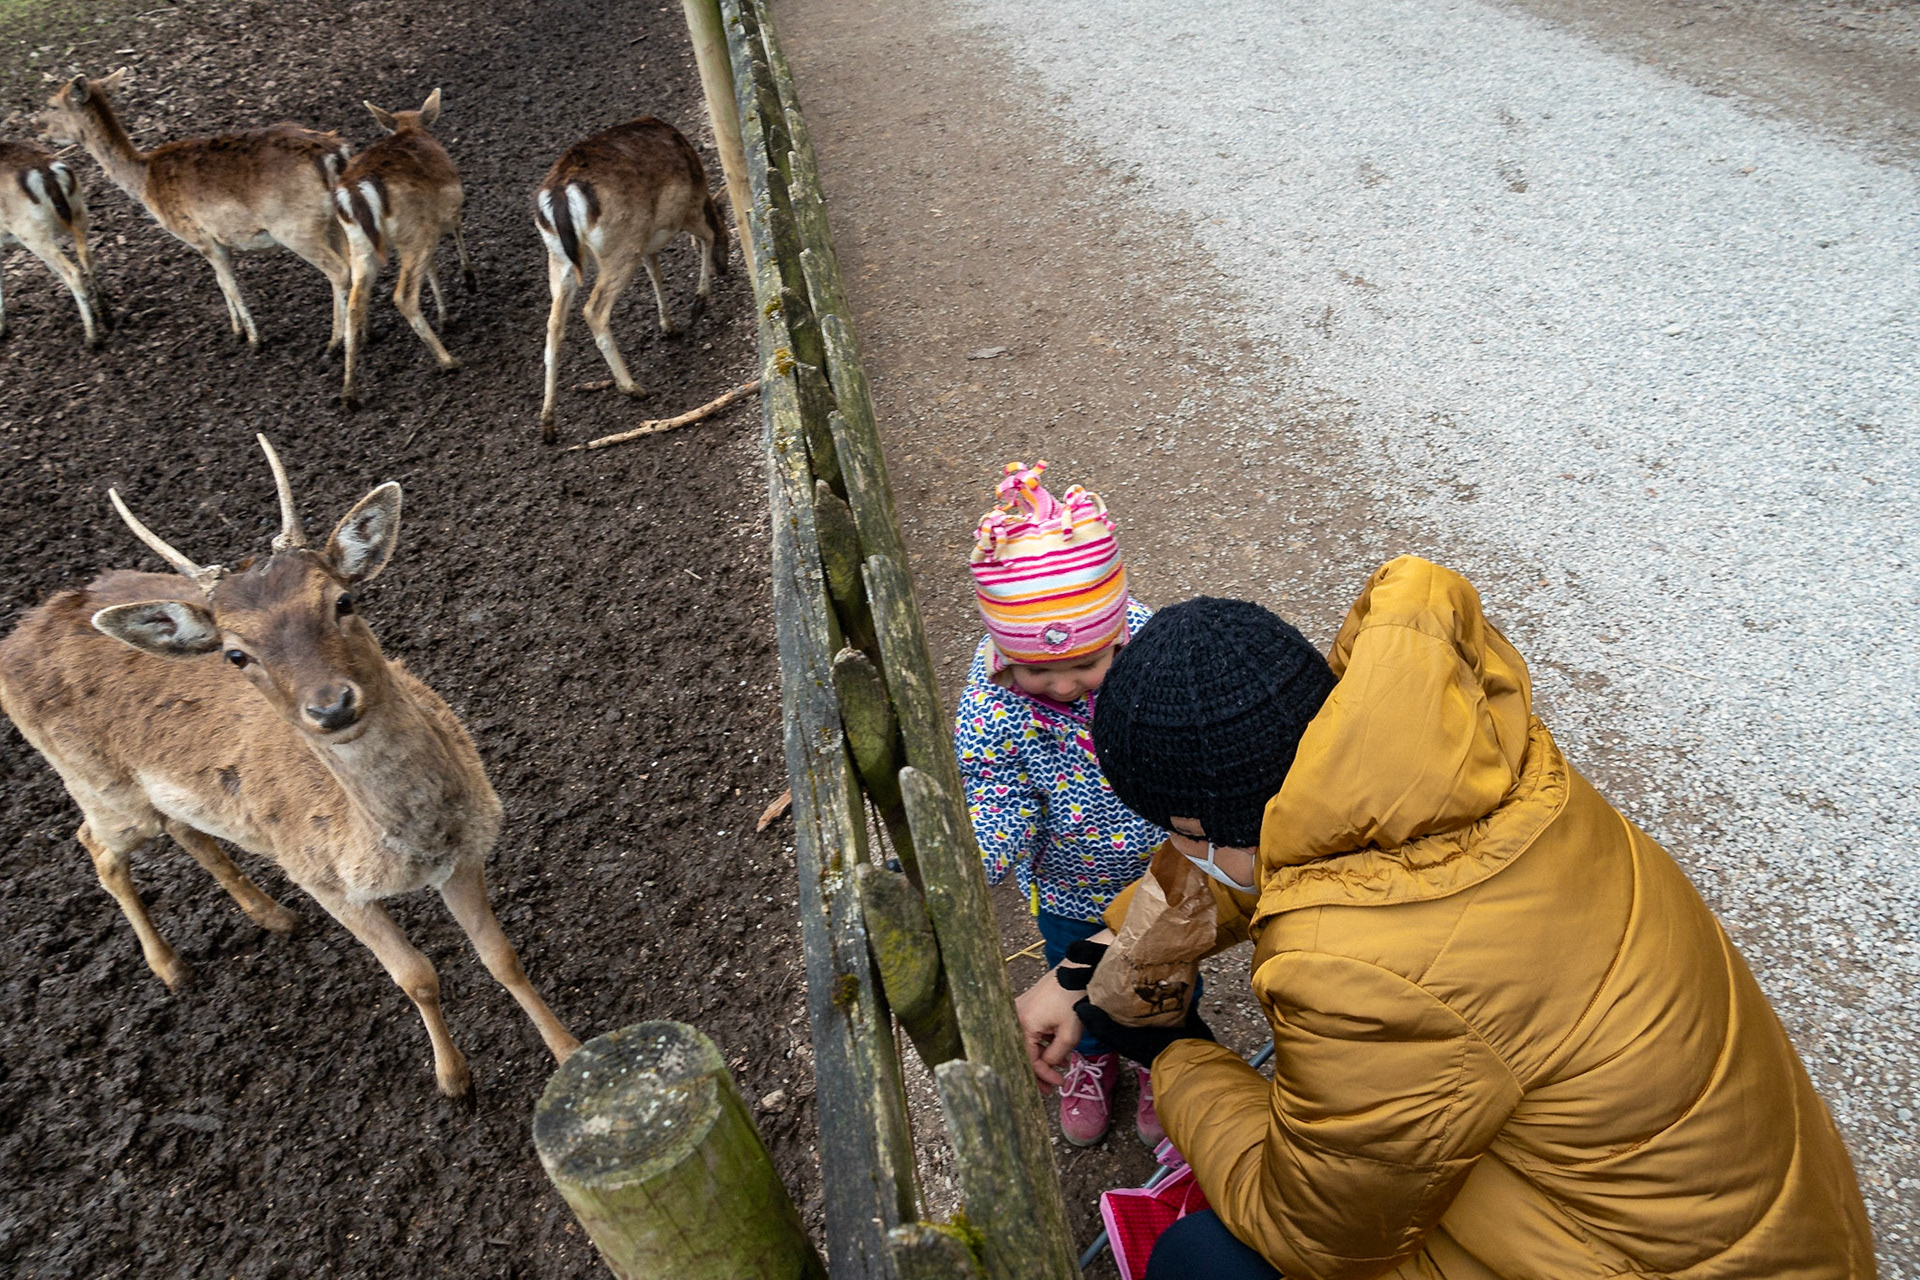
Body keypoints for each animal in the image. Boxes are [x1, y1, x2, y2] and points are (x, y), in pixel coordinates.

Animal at [0, 437, 580, 1100]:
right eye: (235, 654)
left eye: (342, 600)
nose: (330, 706)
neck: (406, 847)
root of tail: (16, 637)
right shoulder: (320, 877)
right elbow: (416, 975)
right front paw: (453, 1079)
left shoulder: (465, 855)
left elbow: (502, 957)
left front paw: (568, 1053)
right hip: (100, 786)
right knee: (94, 845)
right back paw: (171, 968)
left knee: (183, 827)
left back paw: (272, 915)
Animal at [1, 138, 109, 347]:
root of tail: (46, 170)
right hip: (79, 212)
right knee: (86, 257)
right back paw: (106, 317)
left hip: (31, 233)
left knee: (72, 272)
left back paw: (91, 338)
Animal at [36, 69, 352, 353]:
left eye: (52, 104)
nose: (41, 129)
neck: (144, 182)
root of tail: (334, 154)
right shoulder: (217, 240)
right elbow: (222, 283)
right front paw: (238, 333)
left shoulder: (201, 236)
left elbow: (228, 284)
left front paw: (254, 341)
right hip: (334, 222)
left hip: (296, 228)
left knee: (339, 271)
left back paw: (334, 344)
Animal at [333, 88, 474, 408]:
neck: (411, 128)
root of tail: (357, 192)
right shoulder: (448, 210)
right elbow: (457, 233)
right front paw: (469, 280)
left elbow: (433, 267)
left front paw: (445, 316)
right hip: (412, 231)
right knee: (403, 295)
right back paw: (447, 361)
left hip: (360, 245)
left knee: (355, 301)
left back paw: (349, 391)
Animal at [533, 116, 730, 443]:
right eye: (730, 229)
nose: (724, 267)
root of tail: (561, 195)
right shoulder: (686, 209)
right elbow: (705, 237)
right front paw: (698, 304)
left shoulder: (648, 239)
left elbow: (655, 270)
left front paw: (669, 326)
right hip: (621, 244)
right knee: (594, 309)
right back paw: (632, 387)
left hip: (559, 258)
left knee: (553, 325)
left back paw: (548, 424)